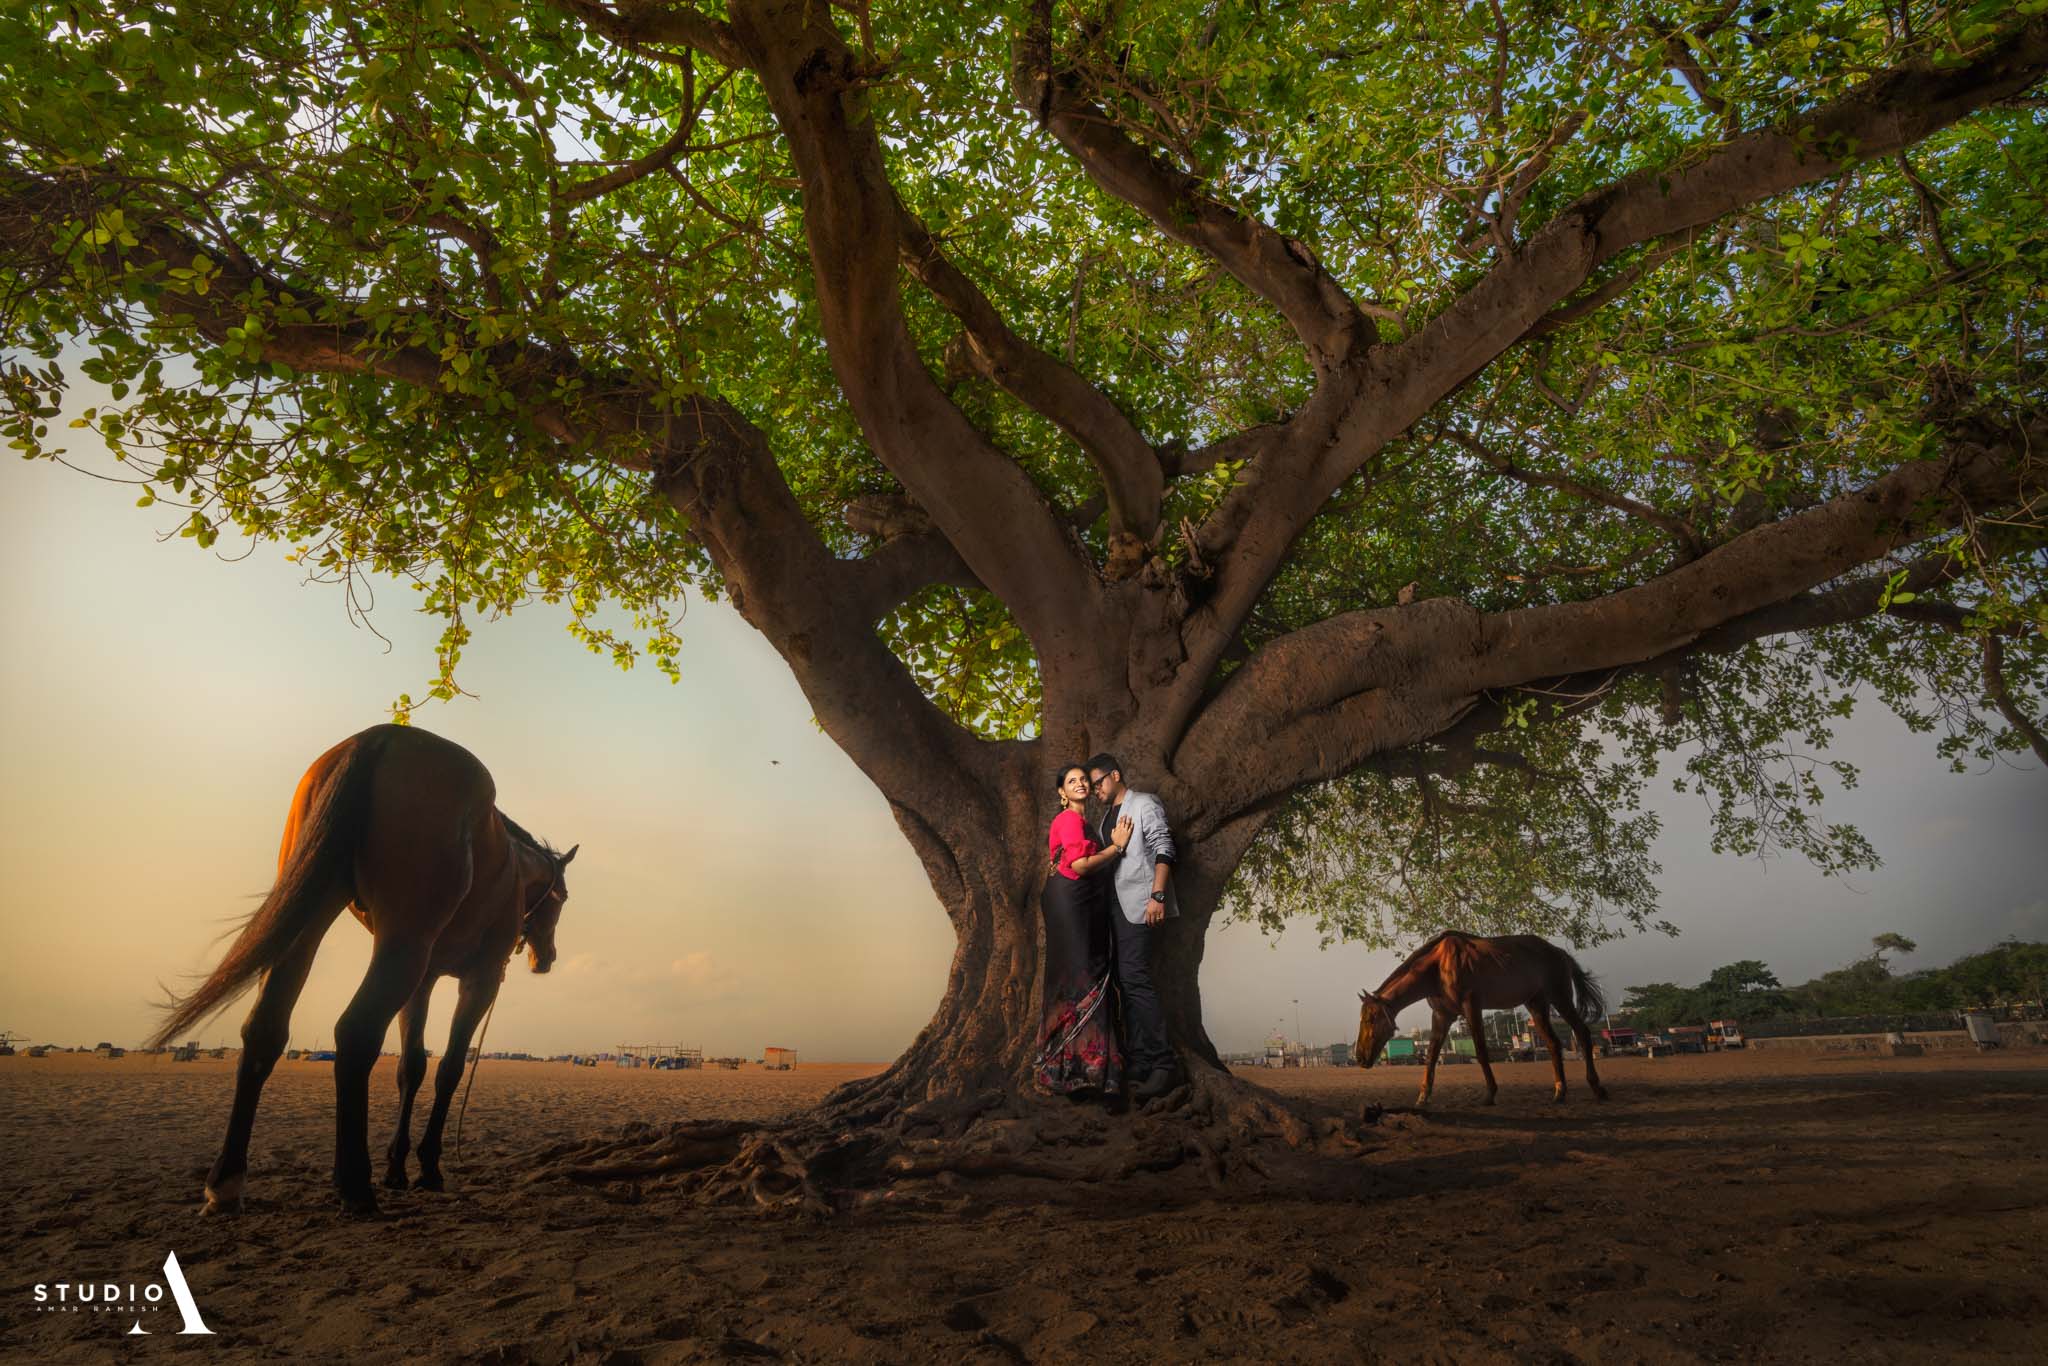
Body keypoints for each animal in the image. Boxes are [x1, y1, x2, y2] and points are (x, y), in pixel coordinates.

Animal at [149, 724, 577, 1220]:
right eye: (563, 898)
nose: (546, 957)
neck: (511, 869)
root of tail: (379, 737)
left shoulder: (424, 981)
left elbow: (412, 1067)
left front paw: (397, 1167)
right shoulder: (479, 979)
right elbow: (448, 1069)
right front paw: (428, 1168)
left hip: (314, 920)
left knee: (264, 1031)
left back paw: (227, 1182)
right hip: (402, 945)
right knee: (355, 1033)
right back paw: (354, 1184)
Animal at [1359, 929, 1613, 1114]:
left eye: (1371, 1019)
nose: (1360, 1057)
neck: (1438, 966)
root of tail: (1559, 953)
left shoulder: (1471, 1006)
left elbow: (1481, 1051)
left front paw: (1490, 1094)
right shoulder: (1442, 1015)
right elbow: (1431, 1056)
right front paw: (1422, 1097)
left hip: (1560, 997)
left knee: (1582, 1033)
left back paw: (1597, 1088)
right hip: (1536, 1003)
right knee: (1553, 1043)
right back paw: (1560, 1092)